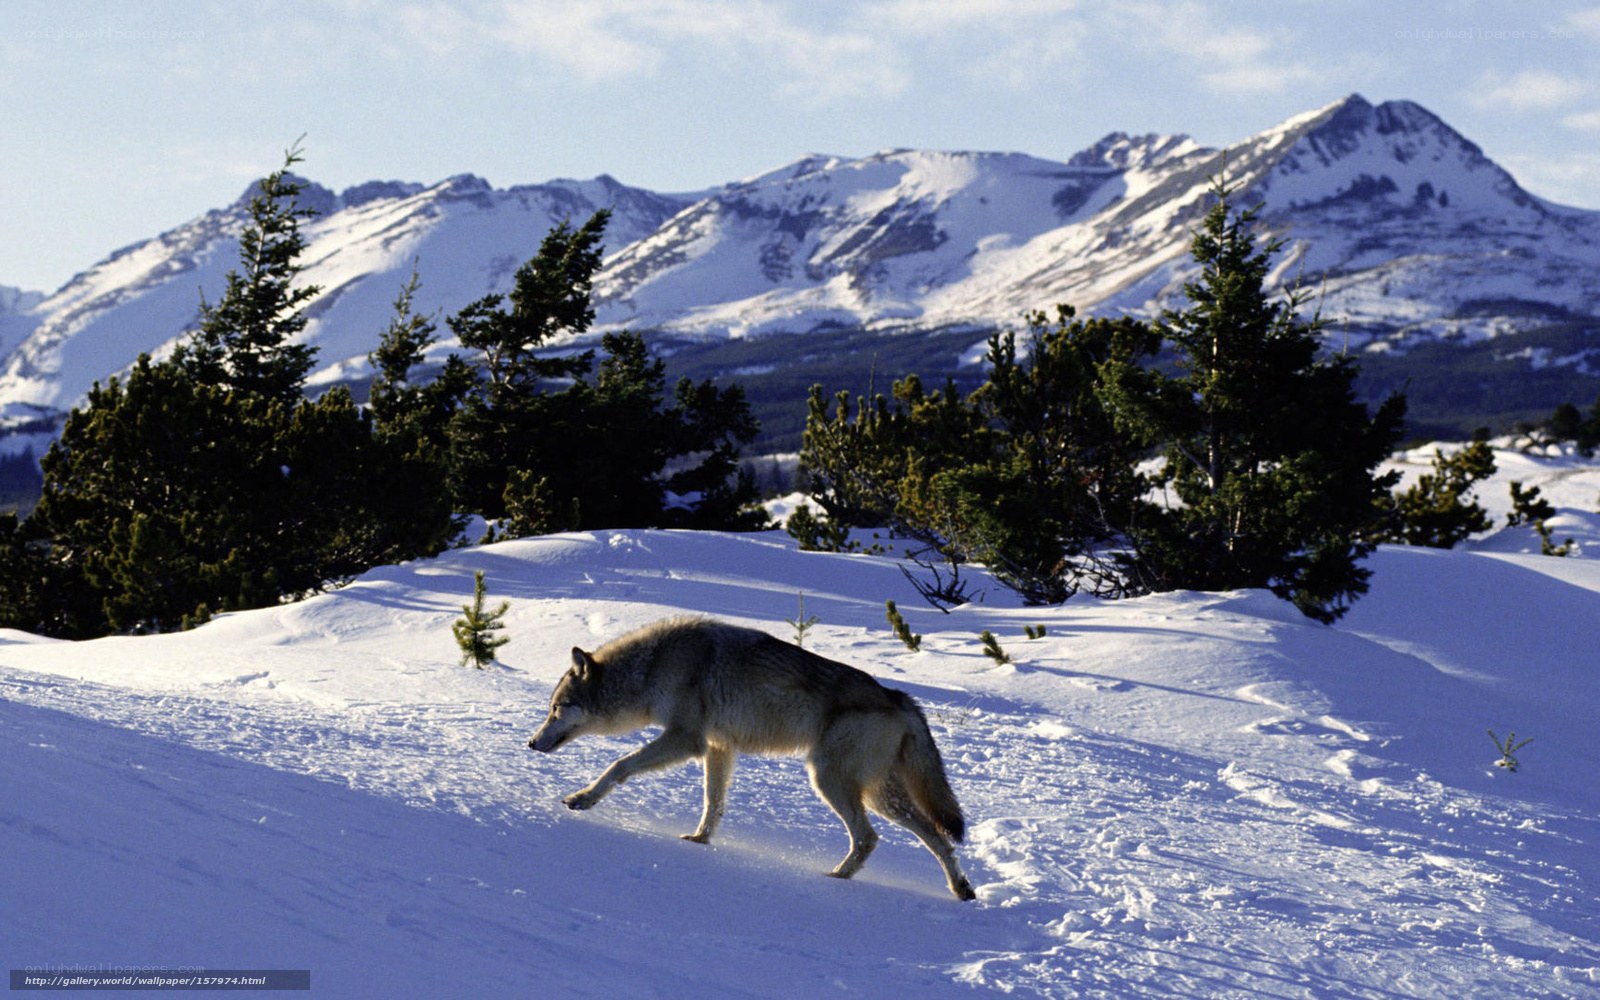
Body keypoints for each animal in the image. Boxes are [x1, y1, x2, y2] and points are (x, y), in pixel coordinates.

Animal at [528, 617, 977, 901]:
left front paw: (582, 799)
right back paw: (962, 890)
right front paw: (700, 841)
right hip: (880, 797)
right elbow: (713, 802)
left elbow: (619, 765)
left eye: (556, 708)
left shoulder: (686, 739)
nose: (531, 743)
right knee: (938, 838)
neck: (653, 666)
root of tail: (899, 698)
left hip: (830, 782)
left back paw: (835, 878)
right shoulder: (717, 748)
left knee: (869, 838)